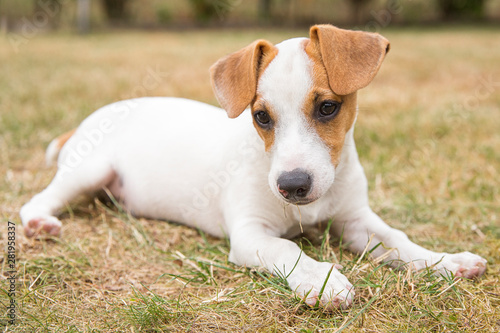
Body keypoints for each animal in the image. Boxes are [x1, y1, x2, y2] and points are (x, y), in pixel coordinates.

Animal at [21, 24, 486, 308]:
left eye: (328, 107)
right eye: (261, 116)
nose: (293, 185)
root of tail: (93, 117)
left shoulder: (357, 221)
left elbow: (399, 241)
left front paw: (446, 260)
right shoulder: (249, 235)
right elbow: (288, 248)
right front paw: (321, 279)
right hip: (88, 171)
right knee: (36, 201)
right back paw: (40, 224)